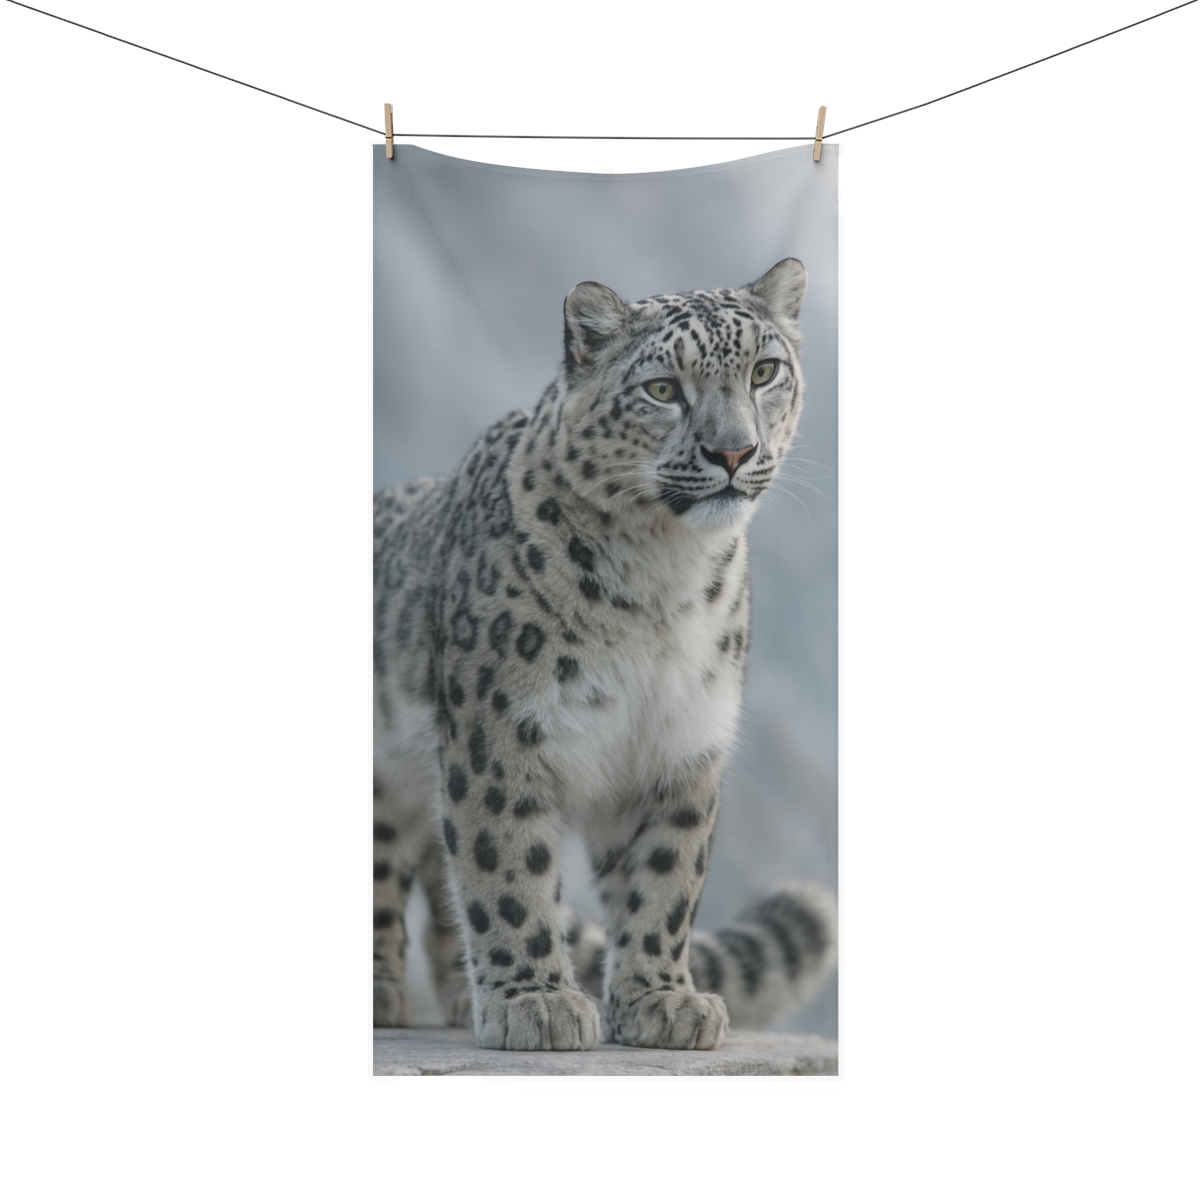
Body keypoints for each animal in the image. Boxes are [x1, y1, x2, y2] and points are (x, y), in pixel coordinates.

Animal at [373, 258, 836, 1051]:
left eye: (765, 371)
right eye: (662, 389)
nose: (734, 451)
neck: (662, 585)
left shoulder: (680, 745)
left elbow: (666, 877)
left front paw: (664, 1001)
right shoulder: (501, 738)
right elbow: (506, 867)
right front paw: (536, 1002)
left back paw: (462, 998)